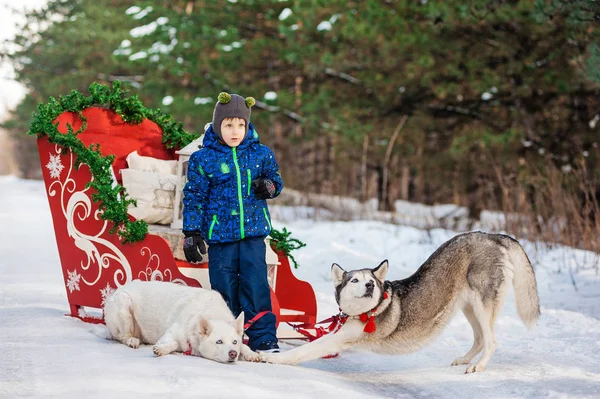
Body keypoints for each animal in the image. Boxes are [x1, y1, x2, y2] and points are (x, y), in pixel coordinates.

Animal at [99, 282, 260, 362]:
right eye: (218, 342)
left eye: (234, 342)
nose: (233, 353)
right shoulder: (171, 334)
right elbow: (174, 343)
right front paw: (161, 349)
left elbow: (245, 346)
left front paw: (252, 354)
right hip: (124, 303)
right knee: (122, 336)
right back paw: (132, 340)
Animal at [262, 233, 540, 374]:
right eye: (355, 280)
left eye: (371, 280)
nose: (370, 286)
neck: (368, 312)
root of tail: (495, 236)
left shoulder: (340, 338)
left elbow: (303, 350)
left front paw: (272, 359)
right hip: (468, 306)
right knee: (481, 338)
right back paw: (464, 359)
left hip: (481, 304)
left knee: (491, 341)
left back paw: (478, 366)